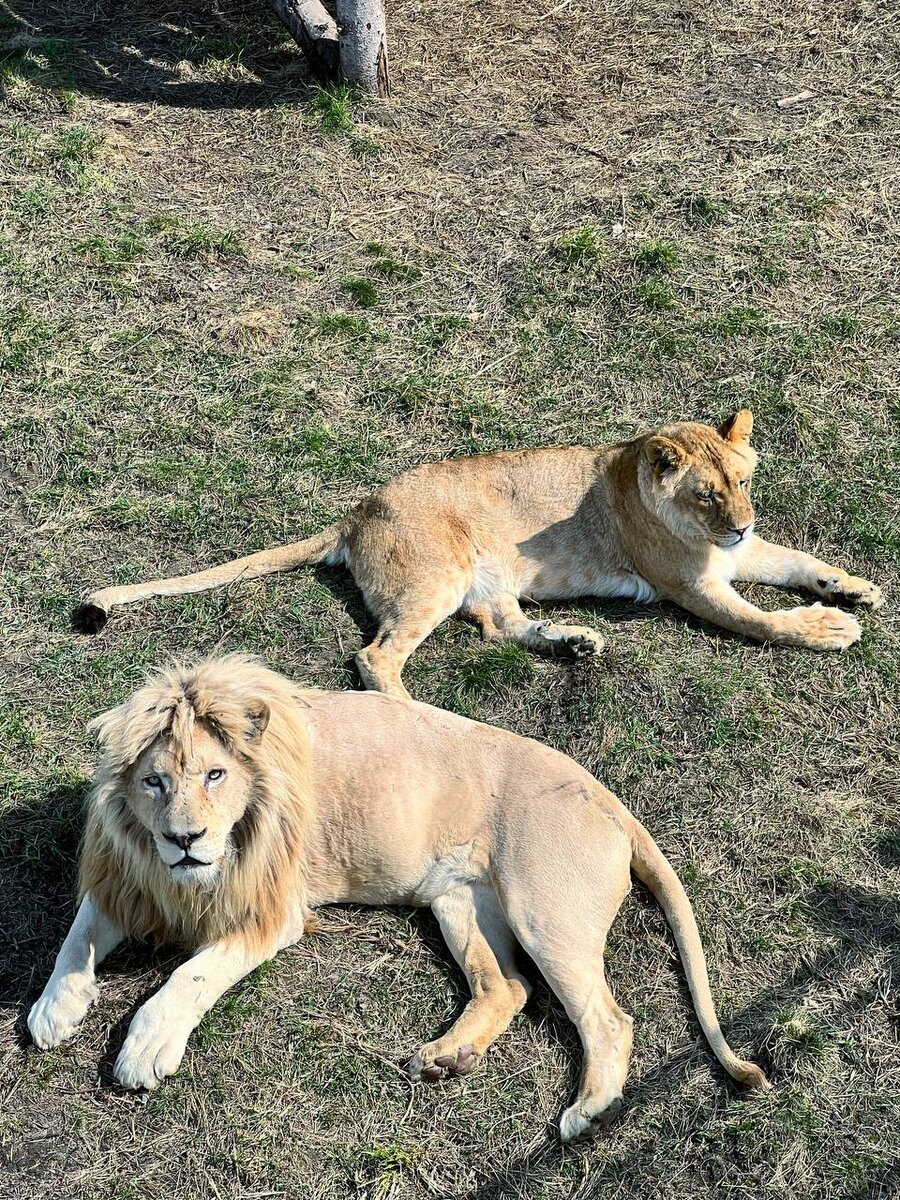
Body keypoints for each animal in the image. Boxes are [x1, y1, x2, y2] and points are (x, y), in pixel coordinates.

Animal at [31, 652, 772, 1137]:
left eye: (215, 775)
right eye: (154, 782)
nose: (185, 838)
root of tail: (613, 801)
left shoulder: (273, 912)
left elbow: (191, 974)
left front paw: (145, 1048)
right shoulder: (128, 879)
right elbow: (76, 936)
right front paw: (52, 1009)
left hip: (544, 912)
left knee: (608, 1019)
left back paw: (587, 1112)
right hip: (461, 904)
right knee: (506, 986)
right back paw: (447, 1058)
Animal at [77, 410, 883, 700]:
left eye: (743, 483)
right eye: (708, 494)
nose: (741, 525)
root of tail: (358, 512)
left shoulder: (731, 560)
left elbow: (797, 562)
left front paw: (856, 587)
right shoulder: (692, 583)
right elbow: (762, 620)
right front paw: (829, 627)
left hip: (490, 580)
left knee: (500, 626)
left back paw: (576, 642)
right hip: (438, 576)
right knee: (377, 656)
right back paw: (412, 716)